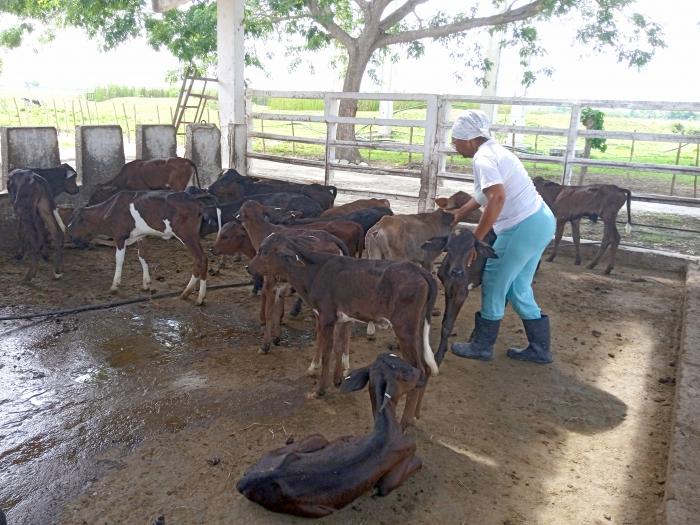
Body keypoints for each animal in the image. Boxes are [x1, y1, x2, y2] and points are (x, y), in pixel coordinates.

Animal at [68, 189, 208, 302]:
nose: (71, 238)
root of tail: (196, 202)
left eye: (75, 223)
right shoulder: (141, 236)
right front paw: (146, 284)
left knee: (200, 258)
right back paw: (188, 294)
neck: (108, 211)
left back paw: (198, 297)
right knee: (201, 259)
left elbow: (119, 259)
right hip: (194, 236)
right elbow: (143, 257)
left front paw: (114, 286)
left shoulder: (120, 236)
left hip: (186, 235)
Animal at [235, 352, 424, 516]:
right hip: (318, 509)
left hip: (310, 441)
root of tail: (243, 483)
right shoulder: (394, 471)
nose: (421, 373)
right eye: (407, 373)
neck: (386, 427)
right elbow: (398, 477)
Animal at [247, 233, 438, 426]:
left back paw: (405, 422)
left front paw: (320, 389)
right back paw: (415, 415)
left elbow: (327, 353)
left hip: (405, 329)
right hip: (418, 329)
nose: (248, 267)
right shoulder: (339, 318)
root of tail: (420, 271)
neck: (314, 273)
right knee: (426, 368)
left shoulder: (327, 317)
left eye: (264, 251)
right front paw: (336, 379)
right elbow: (338, 347)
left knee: (419, 370)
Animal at [422, 229, 498, 364]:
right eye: (449, 247)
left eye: (471, 248)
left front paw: (439, 356)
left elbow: (448, 325)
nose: (457, 272)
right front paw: (443, 349)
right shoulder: (448, 288)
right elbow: (445, 320)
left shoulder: (462, 293)